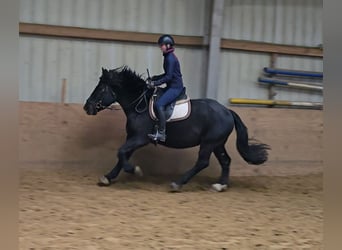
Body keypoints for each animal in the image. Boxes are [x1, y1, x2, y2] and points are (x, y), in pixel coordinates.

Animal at [83, 66, 270, 191]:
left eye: (101, 88)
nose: (87, 107)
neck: (139, 104)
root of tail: (227, 111)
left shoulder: (140, 139)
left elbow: (121, 153)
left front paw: (135, 170)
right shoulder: (133, 138)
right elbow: (122, 155)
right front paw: (108, 177)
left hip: (209, 143)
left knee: (202, 162)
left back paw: (178, 183)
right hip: (217, 143)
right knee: (225, 161)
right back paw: (220, 185)